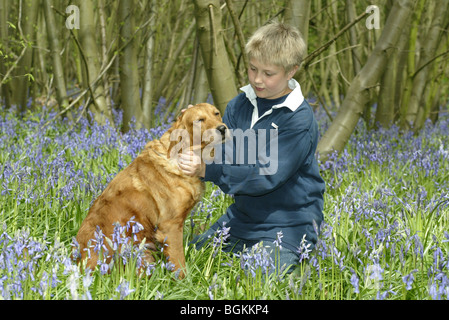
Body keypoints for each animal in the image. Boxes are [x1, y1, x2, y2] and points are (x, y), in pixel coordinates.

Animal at [75, 103, 228, 278]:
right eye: (200, 120)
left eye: (216, 114)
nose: (222, 128)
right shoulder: (170, 225)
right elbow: (179, 261)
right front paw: (184, 281)